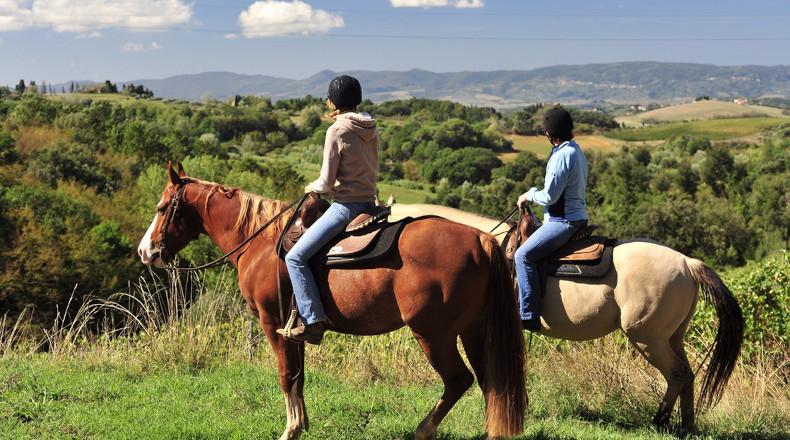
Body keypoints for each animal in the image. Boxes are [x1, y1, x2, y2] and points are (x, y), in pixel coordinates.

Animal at [139, 164, 528, 440]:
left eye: (162, 207)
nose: (146, 251)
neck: (261, 242)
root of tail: (481, 241)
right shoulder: (295, 329)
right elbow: (299, 376)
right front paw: (302, 424)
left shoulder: (272, 323)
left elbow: (286, 376)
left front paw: (290, 430)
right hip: (474, 331)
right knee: (491, 384)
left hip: (434, 335)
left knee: (458, 380)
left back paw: (422, 430)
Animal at [392, 202, 744, 434]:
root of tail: (687, 262)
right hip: (673, 336)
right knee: (687, 374)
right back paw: (686, 426)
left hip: (649, 338)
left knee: (677, 374)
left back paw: (660, 421)